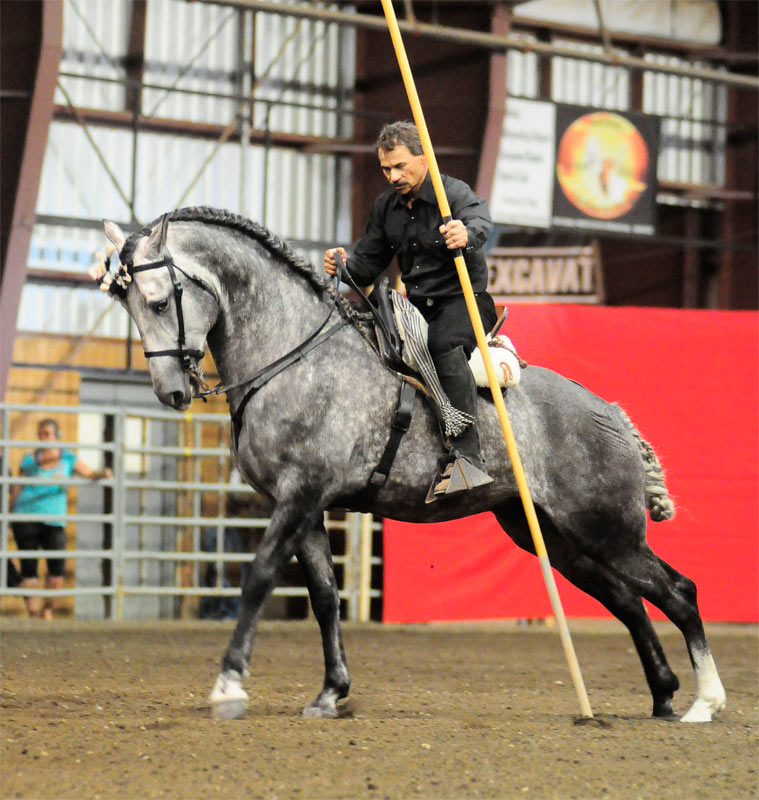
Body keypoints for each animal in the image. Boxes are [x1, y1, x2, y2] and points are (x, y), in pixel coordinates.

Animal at [95, 206, 726, 724]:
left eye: (159, 300)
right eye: (127, 304)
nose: (172, 391)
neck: (292, 356)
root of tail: (609, 412)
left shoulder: (300, 496)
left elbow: (258, 579)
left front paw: (229, 685)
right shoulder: (304, 508)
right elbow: (325, 598)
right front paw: (331, 692)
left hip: (607, 531)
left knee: (678, 591)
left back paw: (705, 702)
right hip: (556, 538)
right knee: (628, 600)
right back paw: (664, 694)